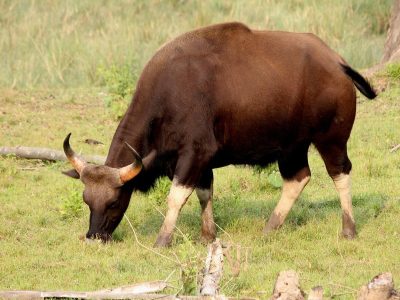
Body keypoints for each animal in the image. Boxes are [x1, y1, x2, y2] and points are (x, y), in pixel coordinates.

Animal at [62, 21, 376, 246]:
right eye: (87, 200)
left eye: (114, 202)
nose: (93, 238)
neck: (170, 93)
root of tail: (337, 62)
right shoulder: (200, 161)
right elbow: (205, 193)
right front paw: (208, 235)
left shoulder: (194, 154)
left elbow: (176, 196)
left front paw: (163, 239)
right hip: (292, 146)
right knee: (298, 178)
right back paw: (270, 228)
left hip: (332, 138)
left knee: (339, 173)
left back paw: (348, 229)